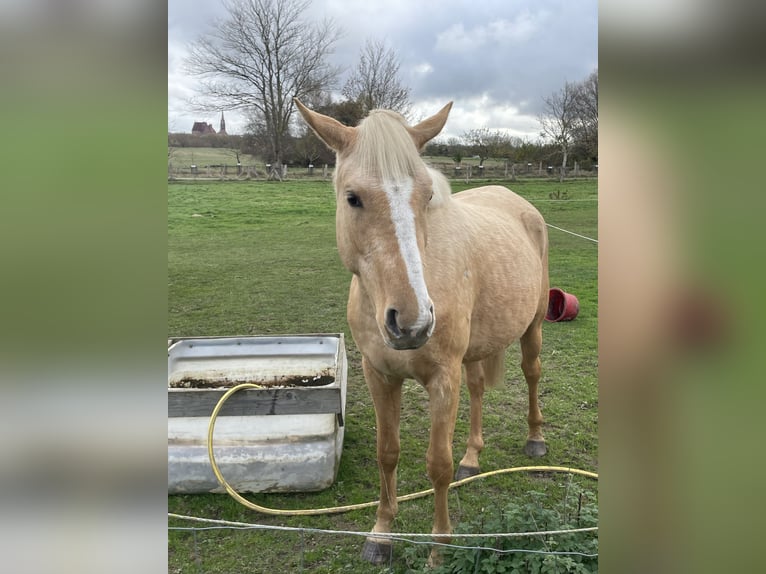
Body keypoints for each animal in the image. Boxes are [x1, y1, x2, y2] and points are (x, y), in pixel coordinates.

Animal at [294, 100, 552, 568]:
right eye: (352, 198)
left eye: (427, 195)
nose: (412, 322)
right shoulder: (379, 375)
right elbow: (387, 453)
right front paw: (381, 534)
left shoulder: (442, 379)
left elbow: (438, 465)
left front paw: (439, 548)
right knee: (478, 388)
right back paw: (473, 457)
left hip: (534, 327)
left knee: (532, 374)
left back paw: (535, 440)